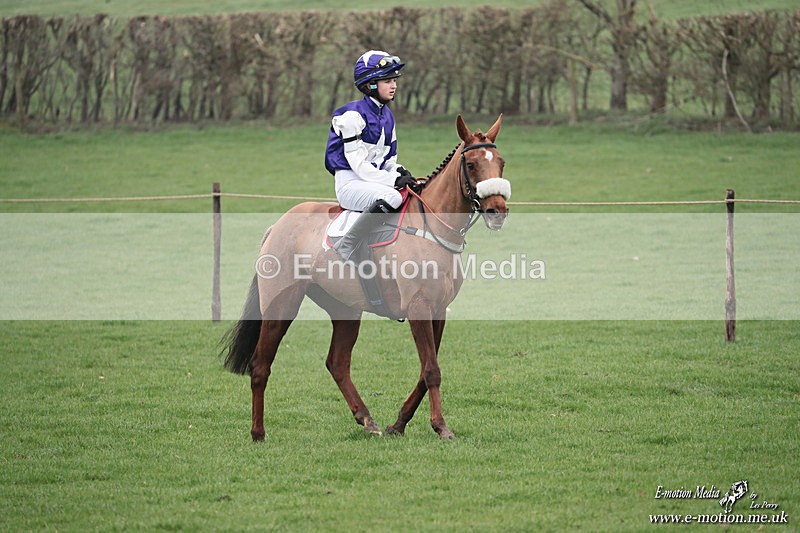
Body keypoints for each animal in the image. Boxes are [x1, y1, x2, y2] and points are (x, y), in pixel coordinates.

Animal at [221, 114, 510, 441]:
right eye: (471, 164)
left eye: (501, 162)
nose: (497, 210)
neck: (432, 228)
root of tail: (277, 225)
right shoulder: (418, 307)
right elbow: (431, 370)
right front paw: (441, 426)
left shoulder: (438, 310)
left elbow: (426, 370)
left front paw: (399, 423)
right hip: (280, 306)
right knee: (260, 365)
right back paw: (258, 432)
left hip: (344, 309)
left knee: (337, 362)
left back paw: (367, 419)